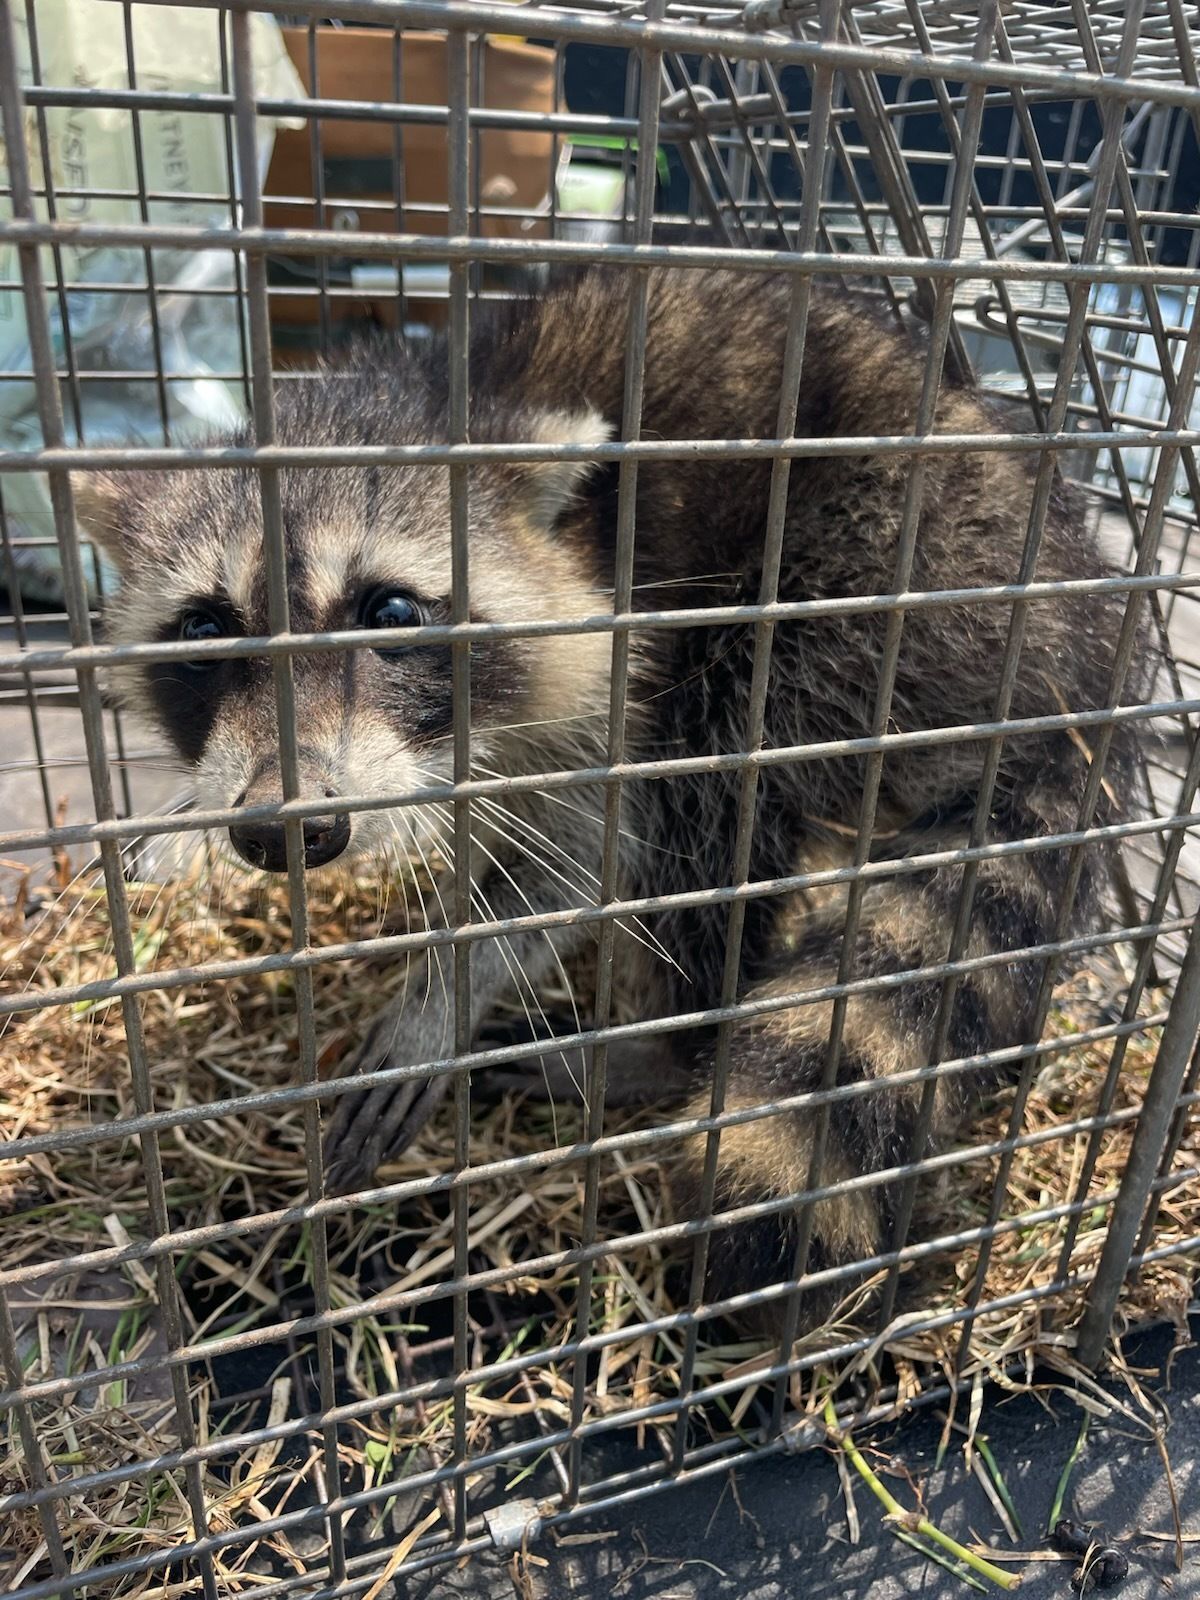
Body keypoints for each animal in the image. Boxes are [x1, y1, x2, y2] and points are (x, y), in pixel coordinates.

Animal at [78, 269, 1145, 1325]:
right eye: (206, 628)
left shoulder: (619, 670)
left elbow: (593, 859)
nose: (284, 832)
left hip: (871, 581)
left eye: (390, 611)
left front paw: (446, 993)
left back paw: (670, 1044)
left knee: (715, 769)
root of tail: (1077, 651)